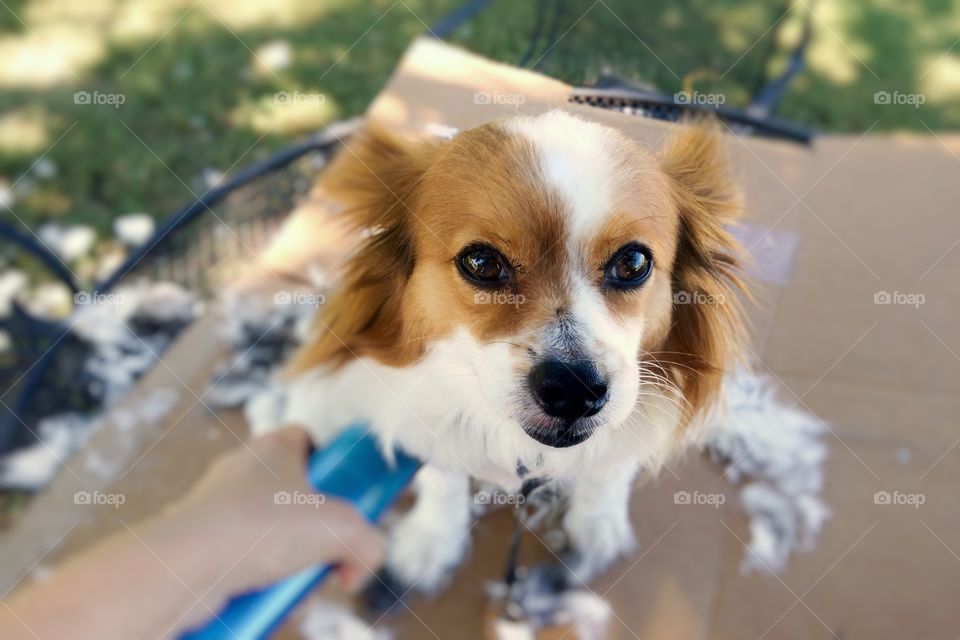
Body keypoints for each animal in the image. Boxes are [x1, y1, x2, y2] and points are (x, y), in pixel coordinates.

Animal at [256, 109, 752, 596]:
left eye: (633, 262)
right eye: (481, 262)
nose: (573, 389)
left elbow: (611, 466)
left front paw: (597, 520)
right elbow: (441, 473)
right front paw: (431, 538)